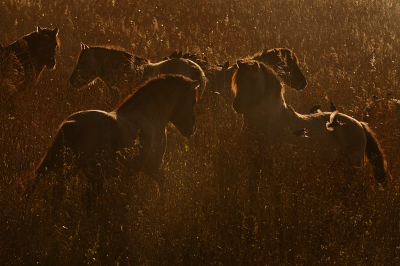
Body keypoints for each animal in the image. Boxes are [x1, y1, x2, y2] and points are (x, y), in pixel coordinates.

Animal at [26, 74, 200, 212]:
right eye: (193, 100)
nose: (191, 128)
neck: (149, 114)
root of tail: (73, 123)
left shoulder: (129, 172)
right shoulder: (151, 166)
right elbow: (163, 184)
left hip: (70, 168)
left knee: (58, 194)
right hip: (93, 175)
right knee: (86, 200)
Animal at [231, 58, 390, 187]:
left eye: (253, 80)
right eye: (237, 81)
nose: (237, 106)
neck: (270, 122)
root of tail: (360, 124)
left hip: (350, 169)